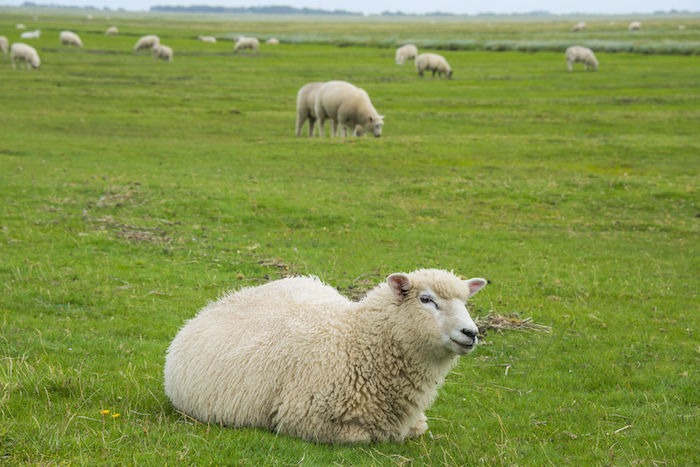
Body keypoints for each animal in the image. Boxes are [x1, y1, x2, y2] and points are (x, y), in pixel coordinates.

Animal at [165, 268, 490, 444]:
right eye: (426, 299)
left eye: (465, 302)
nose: (471, 332)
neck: (355, 341)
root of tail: (223, 299)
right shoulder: (303, 419)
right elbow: (363, 437)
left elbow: (420, 428)